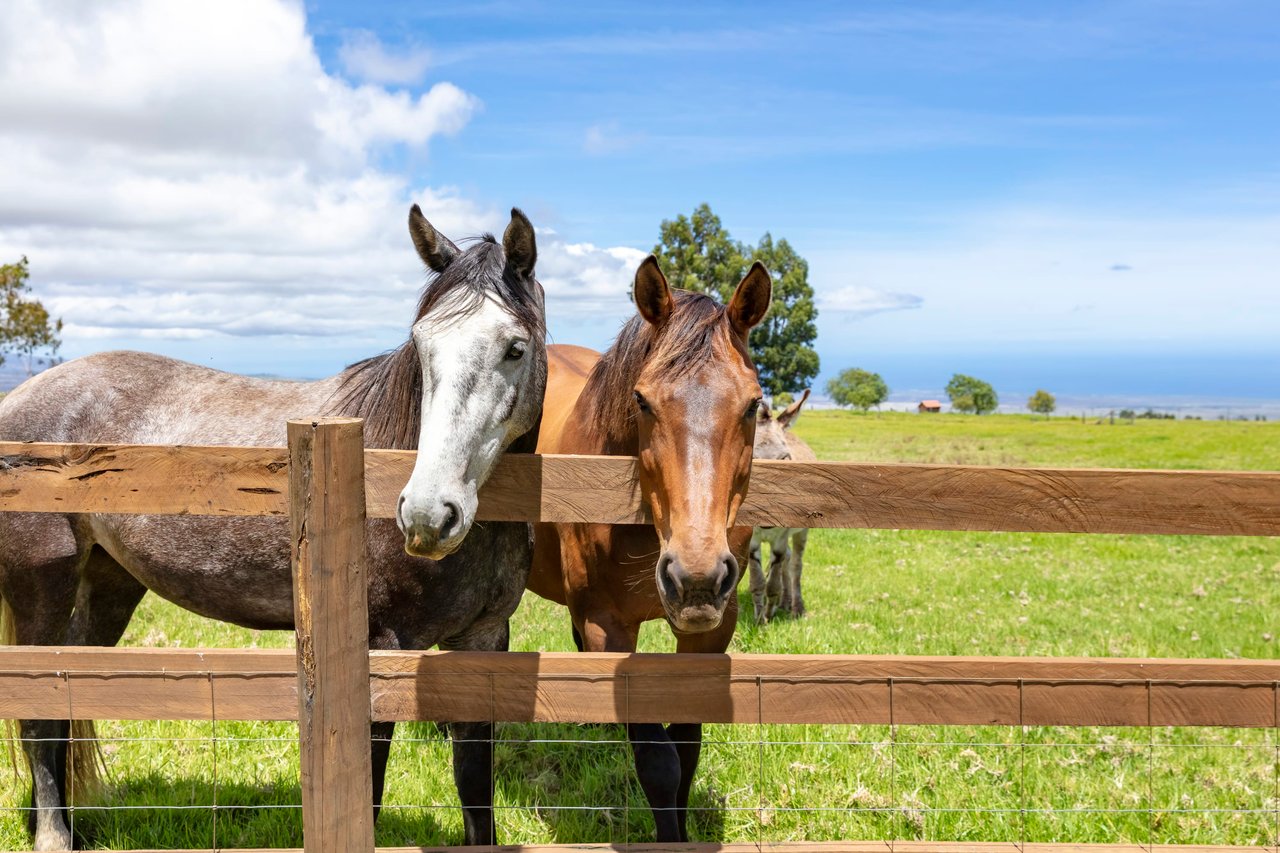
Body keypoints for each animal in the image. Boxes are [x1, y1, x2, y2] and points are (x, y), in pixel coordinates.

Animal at [0, 204, 545, 845]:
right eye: (421, 344)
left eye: (515, 347)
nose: (428, 515)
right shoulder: (380, 647)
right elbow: (367, 792)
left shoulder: (483, 641)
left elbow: (475, 785)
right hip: (42, 586)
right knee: (38, 714)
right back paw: (53, 836)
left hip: (108, 584)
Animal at [522, 252, 768, 835]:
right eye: (641, 400)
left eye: (754, 404)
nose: (696, 577)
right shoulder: (608, 629)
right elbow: (659, 762)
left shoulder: (712, 632)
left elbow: (687, 749)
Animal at [747, 389, 814, 622]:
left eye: (785, 458)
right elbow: (758, 581)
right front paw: (760, 619)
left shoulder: (782, 537)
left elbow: (773, 584)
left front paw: (768, 613)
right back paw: (785, 602)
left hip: (802, 531)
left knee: (795, 564)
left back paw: (795, 607)